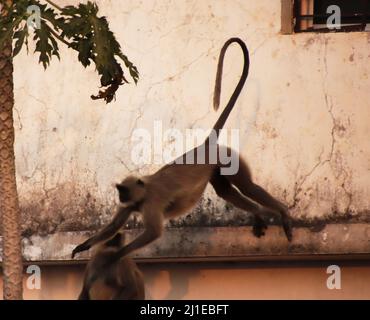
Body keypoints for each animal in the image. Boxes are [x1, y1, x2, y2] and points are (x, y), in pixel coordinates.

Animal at [71, 38, 292, 264]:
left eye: (123, 190)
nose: (121, 197)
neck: (144, 190)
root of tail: (204, 147)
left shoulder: (151, 202)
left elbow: (153, 233)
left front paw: (117, 256)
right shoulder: (132, 204)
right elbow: (114, 226)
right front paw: (83, 246)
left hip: (226, 157)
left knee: (248, 186)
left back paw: (282, 213)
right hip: (215, 169)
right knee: (226, 191)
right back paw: (258, 213)